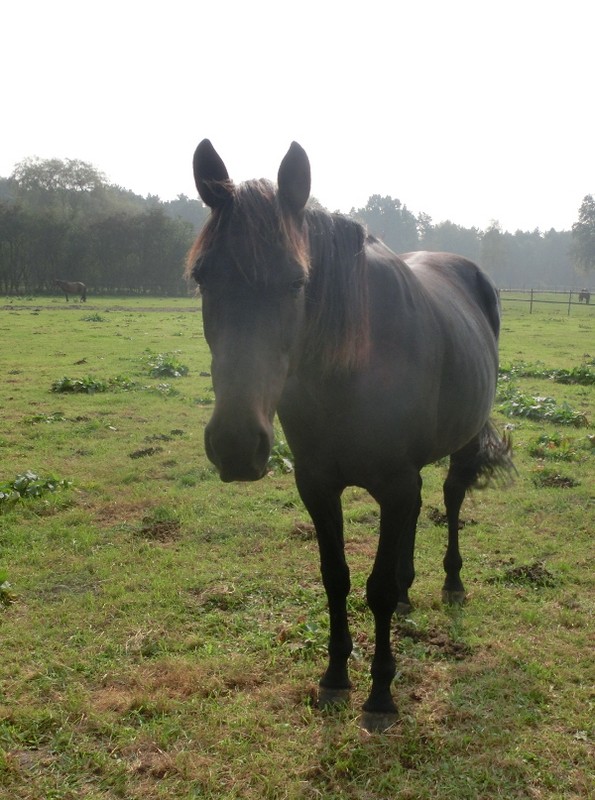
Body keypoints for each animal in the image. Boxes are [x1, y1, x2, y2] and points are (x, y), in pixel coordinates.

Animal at [186, 139, 513, 731]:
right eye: (203, 277)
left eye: (298, 281)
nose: (236, 445)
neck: (349, 371)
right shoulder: (318, 485)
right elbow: (335, 577)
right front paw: (336, 675)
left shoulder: (393, 482)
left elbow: (375, 590)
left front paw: (381, 693)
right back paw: (410, 590)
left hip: (460, 442)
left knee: (451, 497)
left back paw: (452, 582)